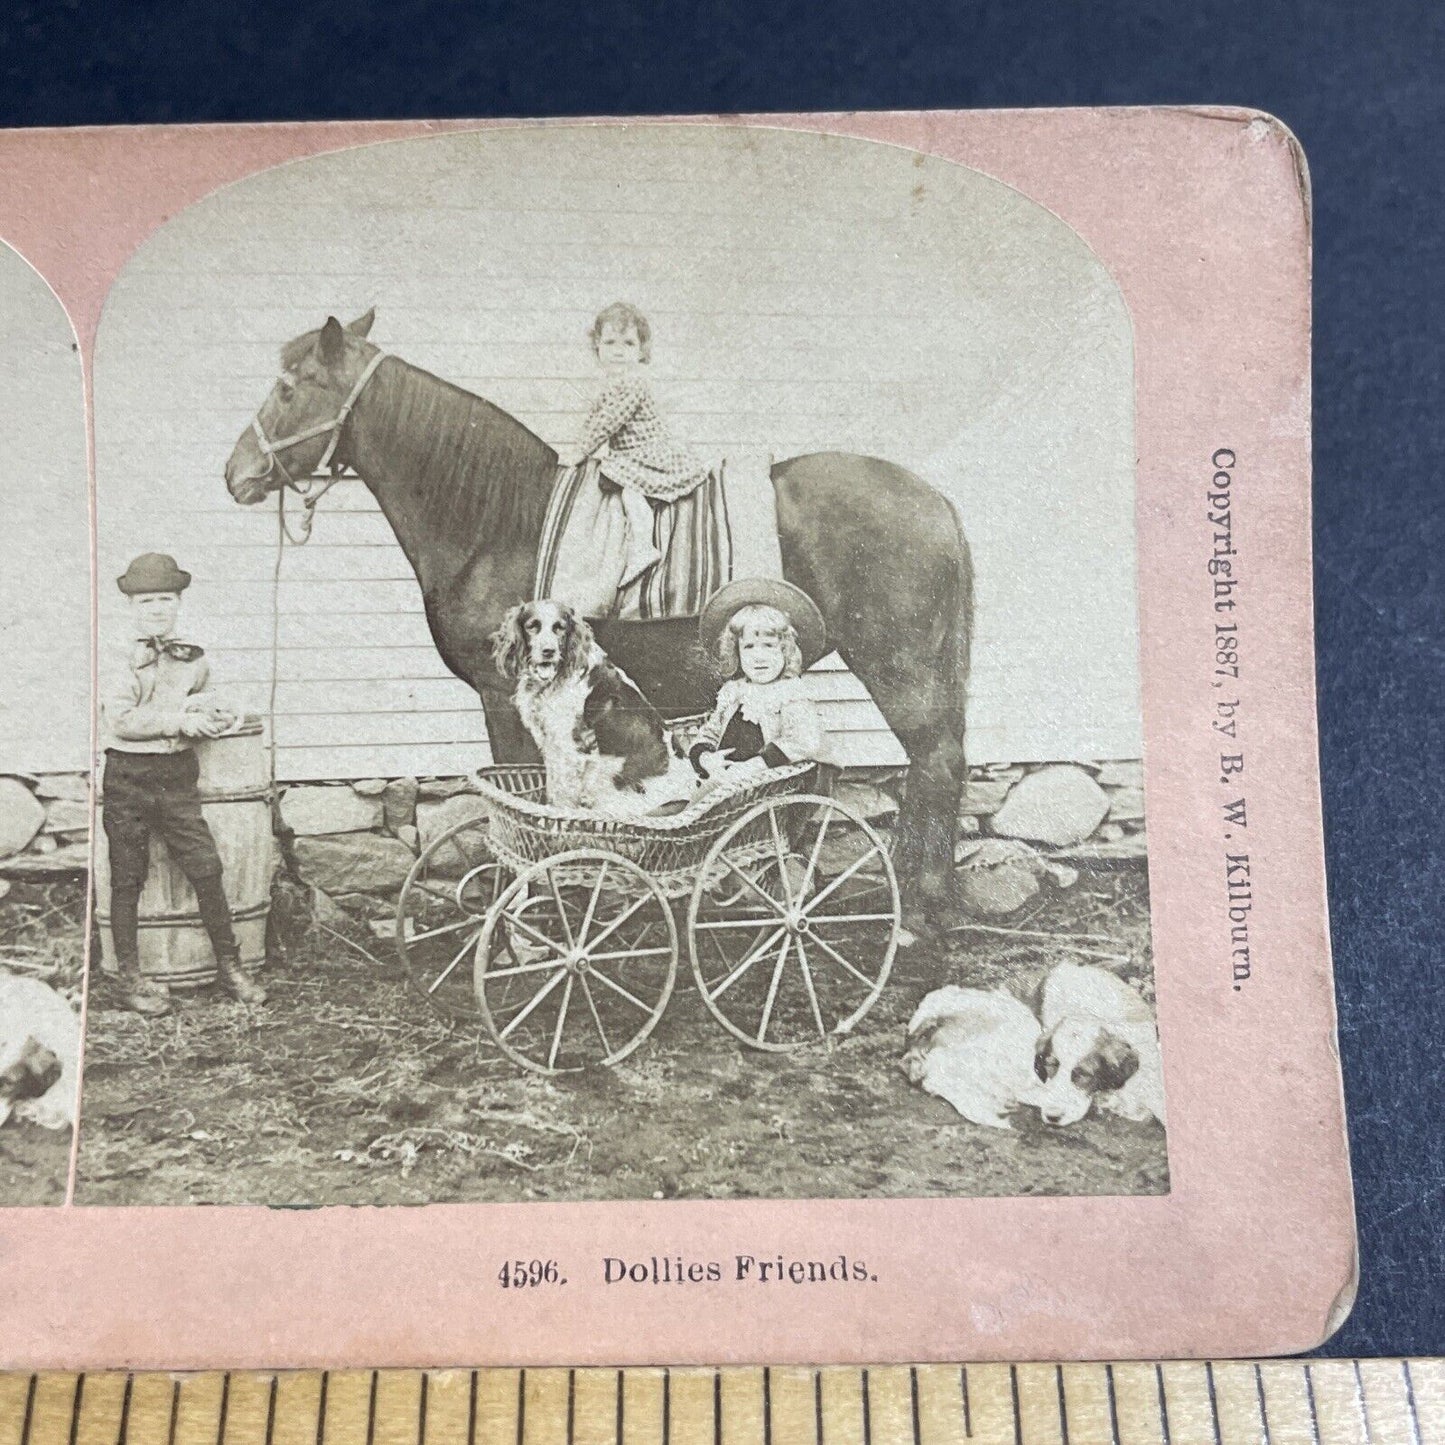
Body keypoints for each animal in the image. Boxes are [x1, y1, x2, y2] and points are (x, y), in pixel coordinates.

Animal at [491, 598, 693, 820]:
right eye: (532, 626)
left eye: (560, 627)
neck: (555, 679)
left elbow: (563, 796)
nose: (548, 651)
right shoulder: (551, 745)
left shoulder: (573, 749)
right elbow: (553, 789)